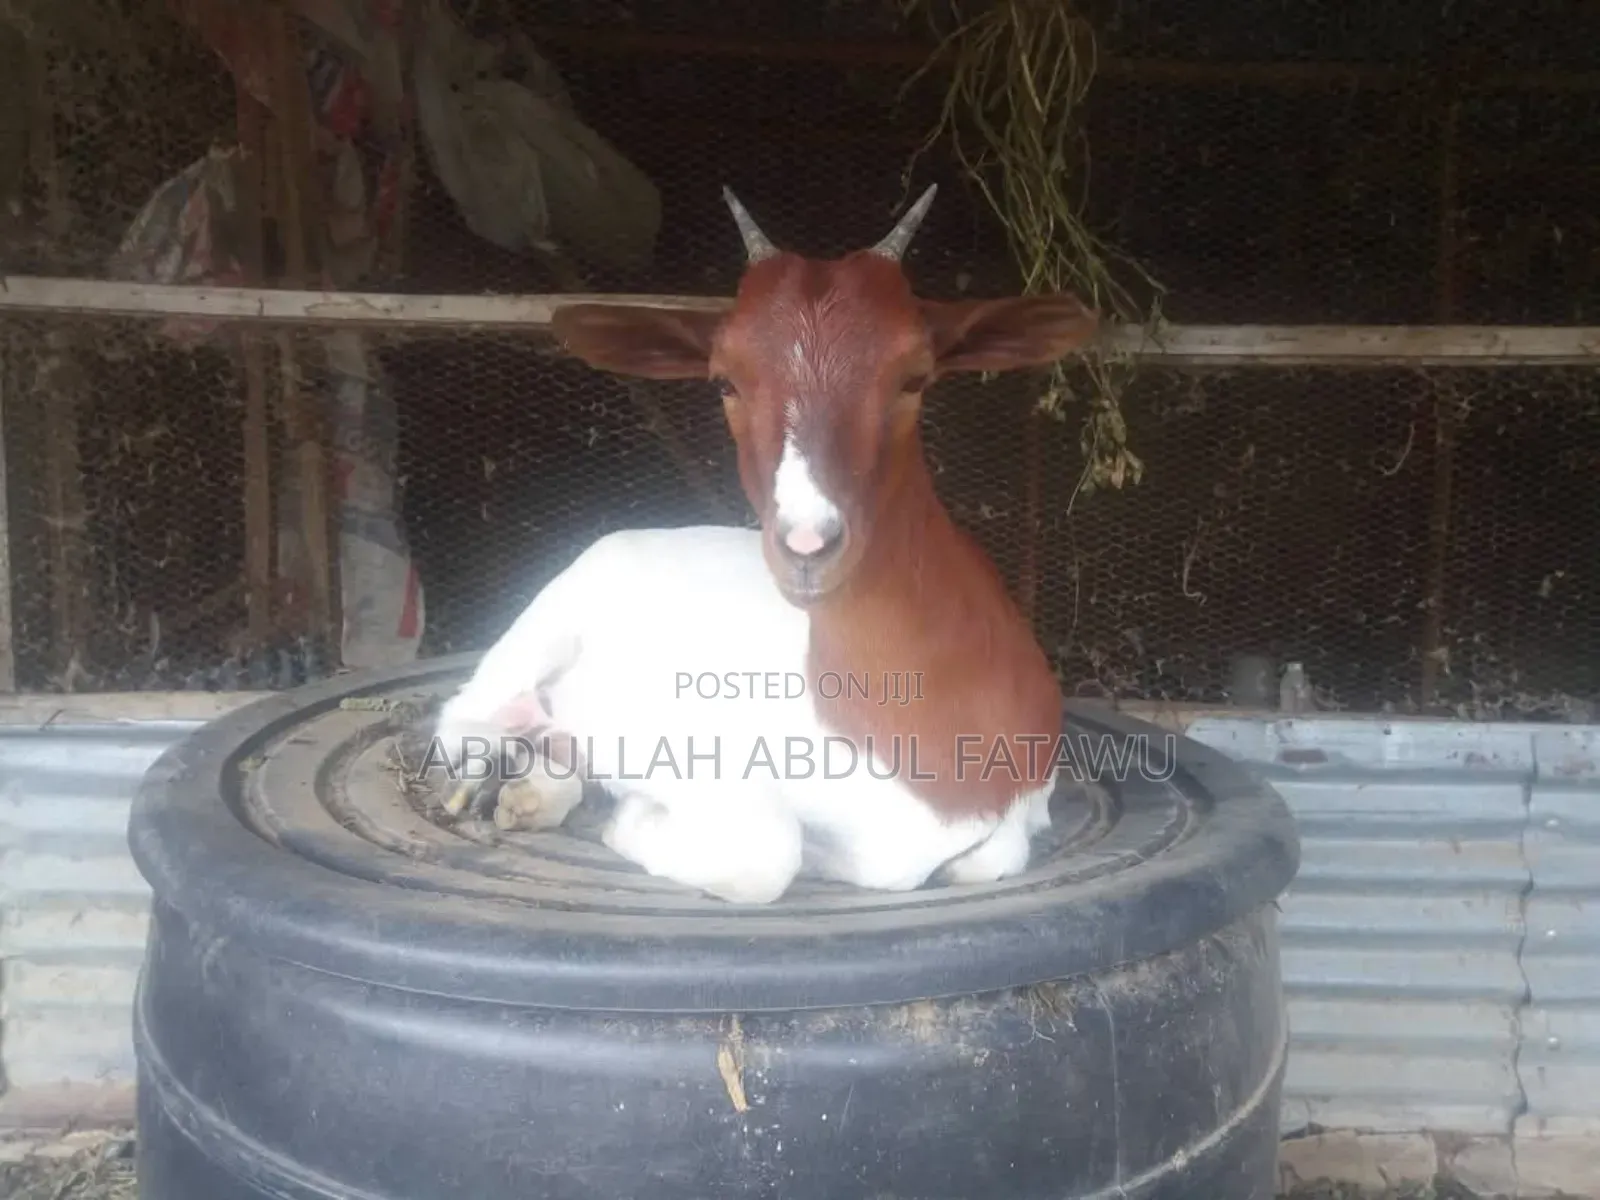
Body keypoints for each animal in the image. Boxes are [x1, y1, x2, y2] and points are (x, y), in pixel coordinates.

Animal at [432, 185, 1100, 904]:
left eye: (914, 378)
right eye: (724, 380)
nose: (808, 542)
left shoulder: (1023, 800)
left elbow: (990, 858)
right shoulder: (692, 741)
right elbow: (769, 851)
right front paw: (630, 817)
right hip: (549, 619)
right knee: (468, 711)